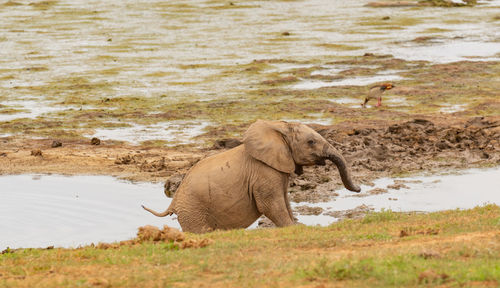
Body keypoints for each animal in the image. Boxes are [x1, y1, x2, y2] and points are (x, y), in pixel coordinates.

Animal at [143, 120, 362, 234]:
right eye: (311, 142)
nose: (359, 188)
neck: (279, 129)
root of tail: (173, 202)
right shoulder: (264, 172)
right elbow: (271, 205)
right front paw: (292, 228)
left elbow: (285, 201)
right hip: (193, 211)